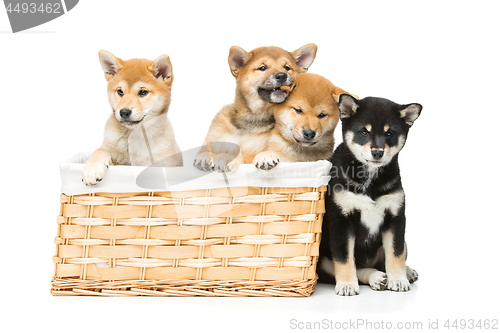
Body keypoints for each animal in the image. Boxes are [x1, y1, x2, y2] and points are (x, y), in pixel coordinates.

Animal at [81, 49, 183, 185]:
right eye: (120, 92)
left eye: (143, 92)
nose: (124, 112)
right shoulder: (113, 155)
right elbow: (100, 150)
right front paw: (91, 169)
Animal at [316, 94, 422, 294]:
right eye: (364, 132)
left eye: (389, 133)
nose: (377, 152)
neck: (369, 178)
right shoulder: (341, 220)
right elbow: (344, 259)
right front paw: (347, 284)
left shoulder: (395, 217)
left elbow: (395, 253)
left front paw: (398, 279)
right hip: (322, 259)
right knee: (356, 267)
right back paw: (375, 277)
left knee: (388, 259)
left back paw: (406, 272)